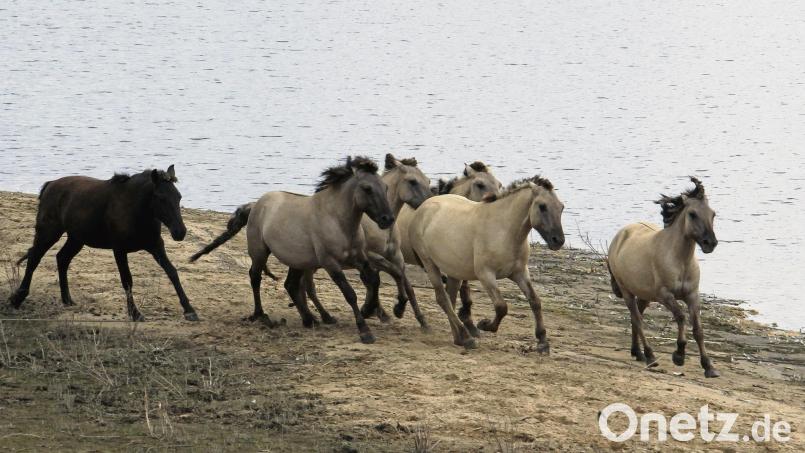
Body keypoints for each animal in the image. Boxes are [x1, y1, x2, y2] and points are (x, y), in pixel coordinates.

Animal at [8, 165, 198, 321]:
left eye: (179, 197)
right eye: (160, 198)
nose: (180, 232)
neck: (135, 211)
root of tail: (50, 185)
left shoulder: (156, 246)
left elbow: (172, 272)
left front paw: (189, 310)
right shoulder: (119, 249)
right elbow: (127, 280)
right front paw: (135, 314)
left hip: (76, 238)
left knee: (61, 258)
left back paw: (67, 299)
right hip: (49, 232)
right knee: (34, 258)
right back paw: (17, 298)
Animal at [189, 156, 395, 344]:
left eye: (385, 188)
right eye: (367, 189)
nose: (388, 219)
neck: (337, 221)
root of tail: (255, 205)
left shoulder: (359, 258)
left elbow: (374, 280)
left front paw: (370, 310)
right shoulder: (331, 263)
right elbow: (350, 294)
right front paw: (365, 331)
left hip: (297, 261)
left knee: (291, 285)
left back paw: (311, 319)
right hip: (259, 253)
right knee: (255, 278)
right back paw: (261, 316)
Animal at [298, 154, 432, 330]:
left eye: (428, 181)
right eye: (412, 181)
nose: (430, 202)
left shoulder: (395, 255)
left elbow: (404, 282)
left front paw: (421, 320)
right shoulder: (370, 256)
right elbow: (387, 276)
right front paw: (384, 309)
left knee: (302, 285)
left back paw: (314, 317)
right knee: (305, 286)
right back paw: (316, 317)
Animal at [408, 176, 565, 350]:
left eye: (561, 207)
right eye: (542, 206)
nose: (558, 240)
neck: (504, 231)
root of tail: (423, 207)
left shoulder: (520, 273)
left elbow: (535, 301)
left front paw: (543, 342)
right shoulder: (486, 275)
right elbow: (501, 307)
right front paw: (484, 325)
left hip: (454, 271)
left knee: (451, 298)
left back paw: (459, 339)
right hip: (429, 264)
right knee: (443, 299)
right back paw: (467, 337)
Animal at [607, 177, 720, 378]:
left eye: (713, 214)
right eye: (692, 214)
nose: (710, 243)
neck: (680, 261)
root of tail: (620, 236)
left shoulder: (692, 295)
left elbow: (698, 330)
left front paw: (709, 367)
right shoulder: (665, 295)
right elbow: (681, 317)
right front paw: (679, 355)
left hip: (644, 296)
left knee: (635, 318)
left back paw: (637, 353)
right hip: (627, 292)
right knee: (638, 320)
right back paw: (650, 356)